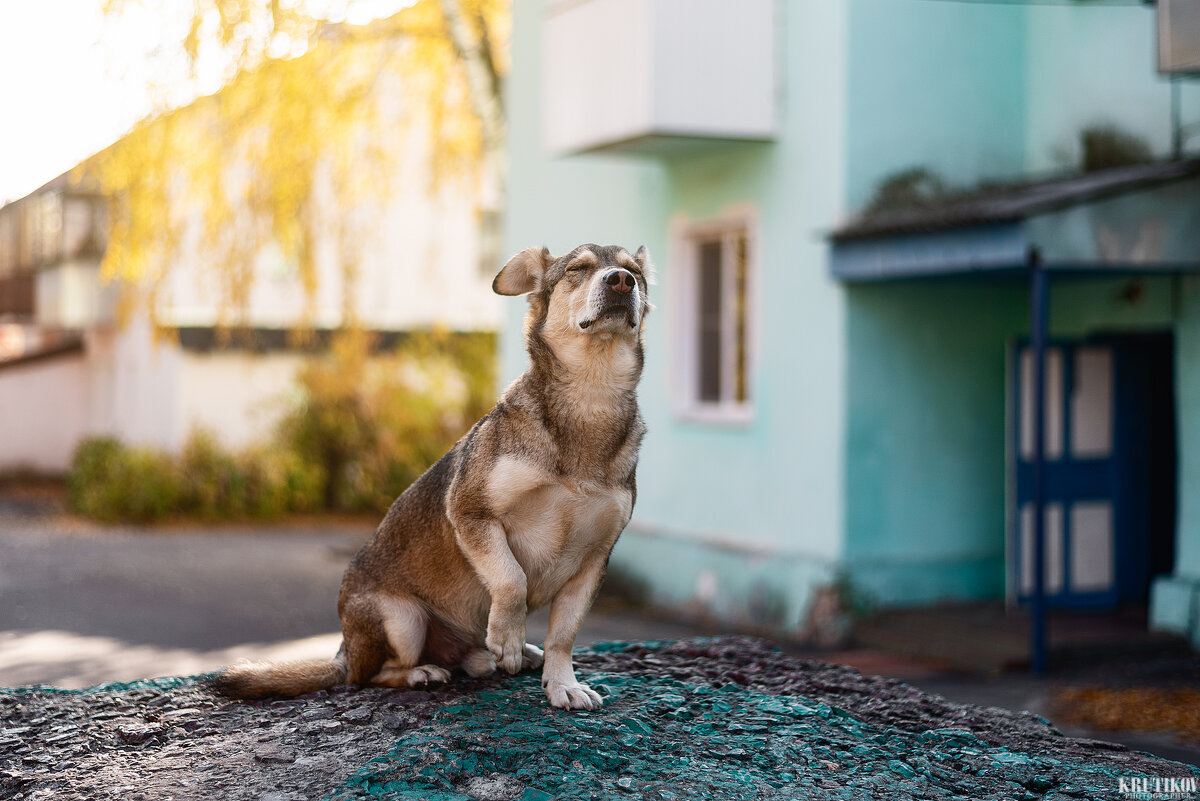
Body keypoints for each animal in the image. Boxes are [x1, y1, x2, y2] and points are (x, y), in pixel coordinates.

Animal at [211, 242, 652, 705]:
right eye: (578, 269)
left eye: (635, 273)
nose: (621, 281)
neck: (590, 397)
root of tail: (344, 650)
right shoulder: (470, 512)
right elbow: (511, 579)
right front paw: (509, 638)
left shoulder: (593, 562)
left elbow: (563, 635)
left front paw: (563, 683)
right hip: (402, 621)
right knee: (370, 676)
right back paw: (422, 671)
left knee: (458, 660)